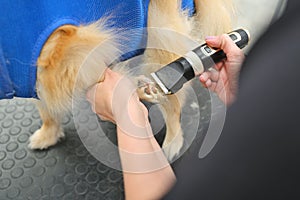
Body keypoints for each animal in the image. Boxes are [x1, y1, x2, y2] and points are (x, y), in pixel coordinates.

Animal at [25, 0, 233, 160]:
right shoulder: (32, 78)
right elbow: (45, 108)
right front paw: (48, 134)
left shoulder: (65, 49)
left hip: (158, 27)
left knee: (172, 102)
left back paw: (171, 139)